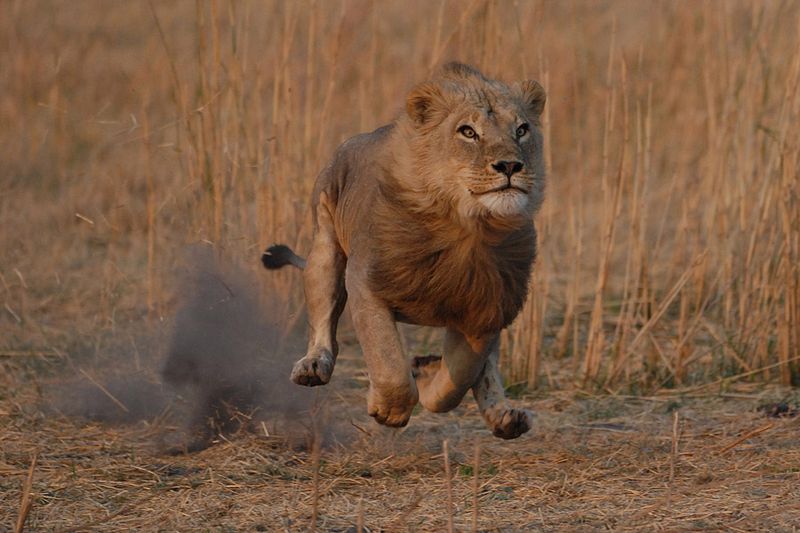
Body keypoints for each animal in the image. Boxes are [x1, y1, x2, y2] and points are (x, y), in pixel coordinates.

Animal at [262, 63, 544, 436]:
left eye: (522, 130)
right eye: (468, 132)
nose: (510, 166)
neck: (466, 226)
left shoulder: (487, 305)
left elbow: (461, 375)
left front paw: (426, 376)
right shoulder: (366, 283)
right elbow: (387, 360)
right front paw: (390, 410)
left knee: (487, 370)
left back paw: (505, 416)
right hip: (324, 247)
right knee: (323, 319)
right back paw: (312, 366)